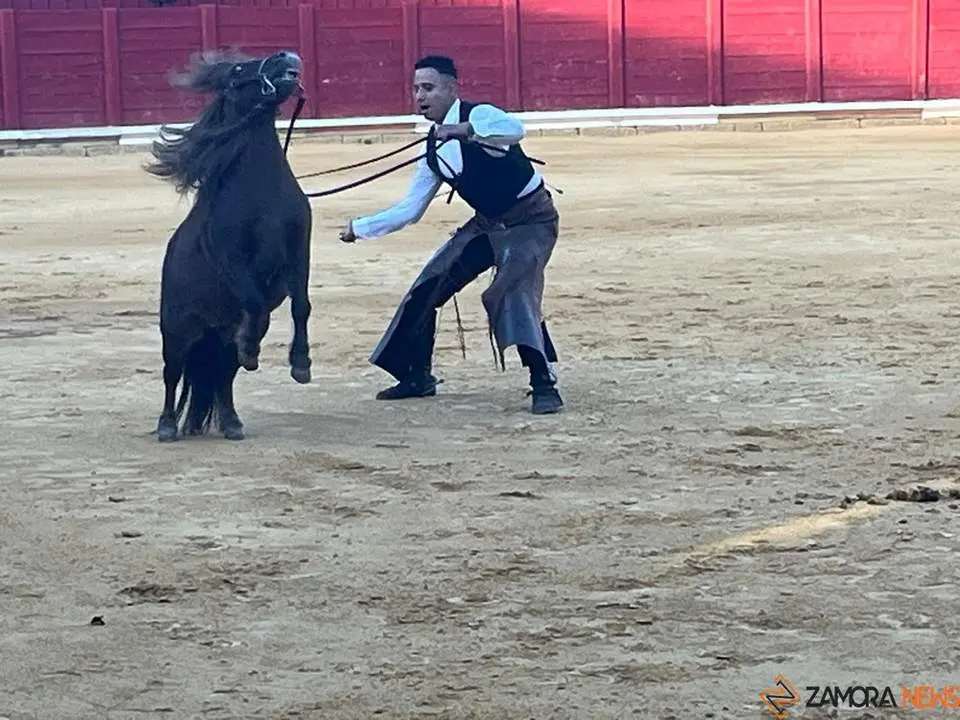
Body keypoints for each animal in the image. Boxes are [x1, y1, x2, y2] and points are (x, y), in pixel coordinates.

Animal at [145, 49, 314, 442]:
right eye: (238, 69)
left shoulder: (300, 252)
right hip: (177, 333)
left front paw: (300, 366)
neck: (262, 192)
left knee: (223, 375)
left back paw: (232, 422)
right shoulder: (231, 258)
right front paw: (253, 349)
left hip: (218, 339)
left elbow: (301, 306)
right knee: (172, 375)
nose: (286, 55)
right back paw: (167, 426)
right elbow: (255, 302)